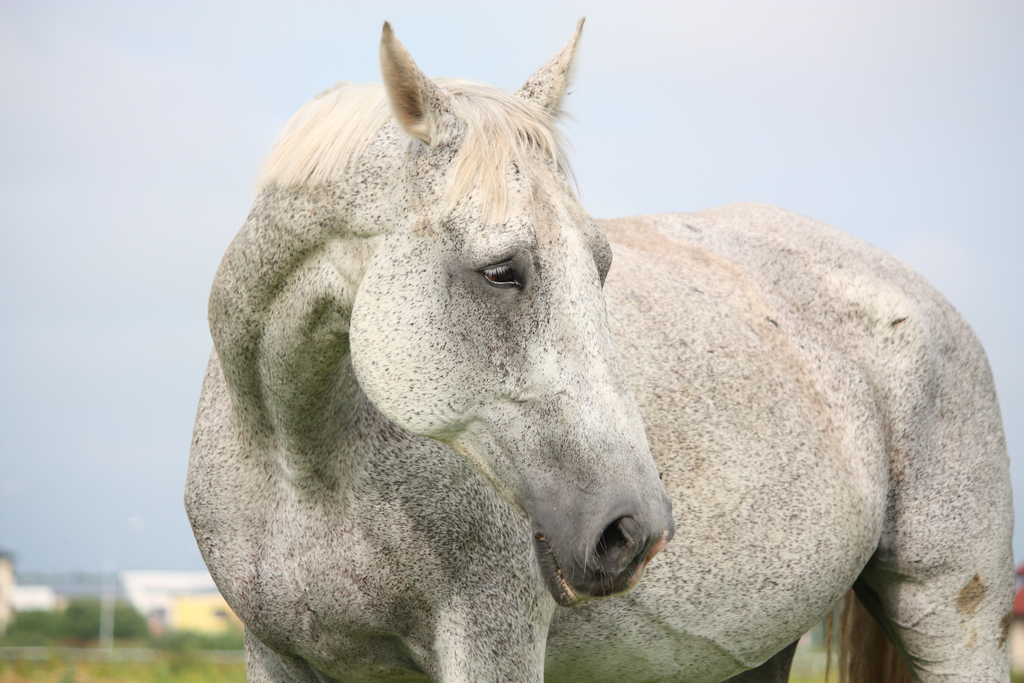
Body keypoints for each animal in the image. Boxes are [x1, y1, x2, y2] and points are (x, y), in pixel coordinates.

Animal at [186, 18, 1015, 679]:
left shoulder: (492, 642)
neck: (300, 462)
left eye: (602, 263)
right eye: (500, 270)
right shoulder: (275, 654)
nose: (634, 529)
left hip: (955, 621)